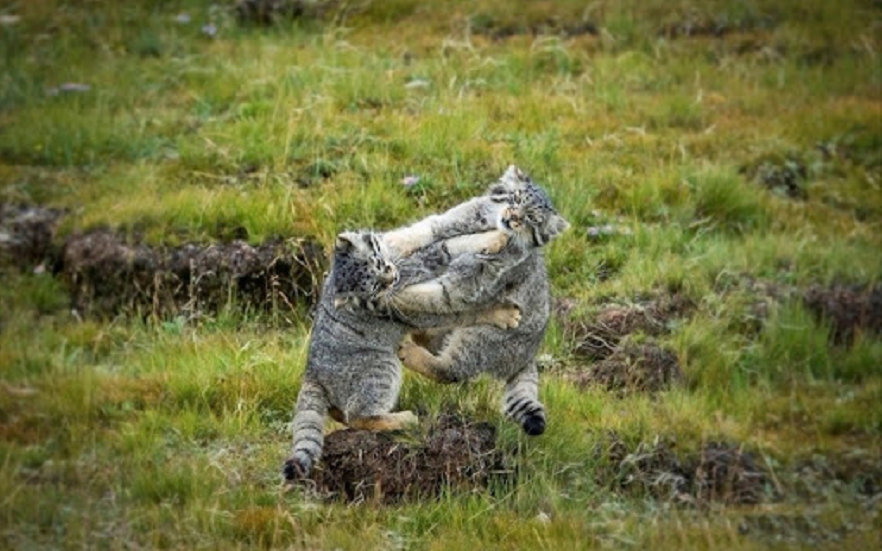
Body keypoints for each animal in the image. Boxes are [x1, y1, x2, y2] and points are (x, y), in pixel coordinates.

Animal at [282, 229, 516, 478]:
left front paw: (495, 237)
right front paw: (502, 313)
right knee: (357, 416)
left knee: (342, 413)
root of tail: (311, 373)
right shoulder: (417, 305)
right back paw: (403, 419)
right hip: (382, 364)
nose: (393, 277)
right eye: (375, 288)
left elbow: (444, 246)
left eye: (378, 263)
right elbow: (461, 308)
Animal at [396, 164, 568, 436]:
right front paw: (396, 242)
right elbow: (427, 227)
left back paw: (411, 352)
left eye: (532, 219)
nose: (513, 217)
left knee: (452, 371)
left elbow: (432, 295)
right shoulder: (451, 221)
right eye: (516, 198)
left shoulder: (464, 285)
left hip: (479, 337)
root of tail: (531, 354)